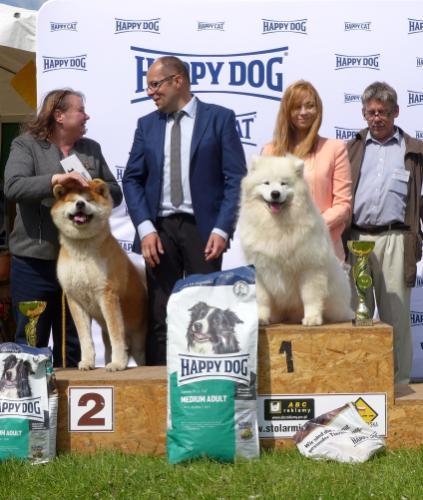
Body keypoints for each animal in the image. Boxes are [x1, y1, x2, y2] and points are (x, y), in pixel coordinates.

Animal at [51, 180, 147, 372]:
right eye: (72, 200)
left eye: (89, 199)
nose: (80, 204)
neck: (82, 249)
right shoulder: (75, 300)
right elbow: (85, 338)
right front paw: (87, 362)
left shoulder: (107, 295)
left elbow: (116, 334)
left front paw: (117, 364)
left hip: (140, 344)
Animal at [238, 154, 354, 326]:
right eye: (266, 183)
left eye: (284, 183)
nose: (275, 193)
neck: (276, 225)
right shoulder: (260, 271)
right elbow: (262, 299)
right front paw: (261, 318)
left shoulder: (310, 269)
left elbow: (310, 297)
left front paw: (312, 318)